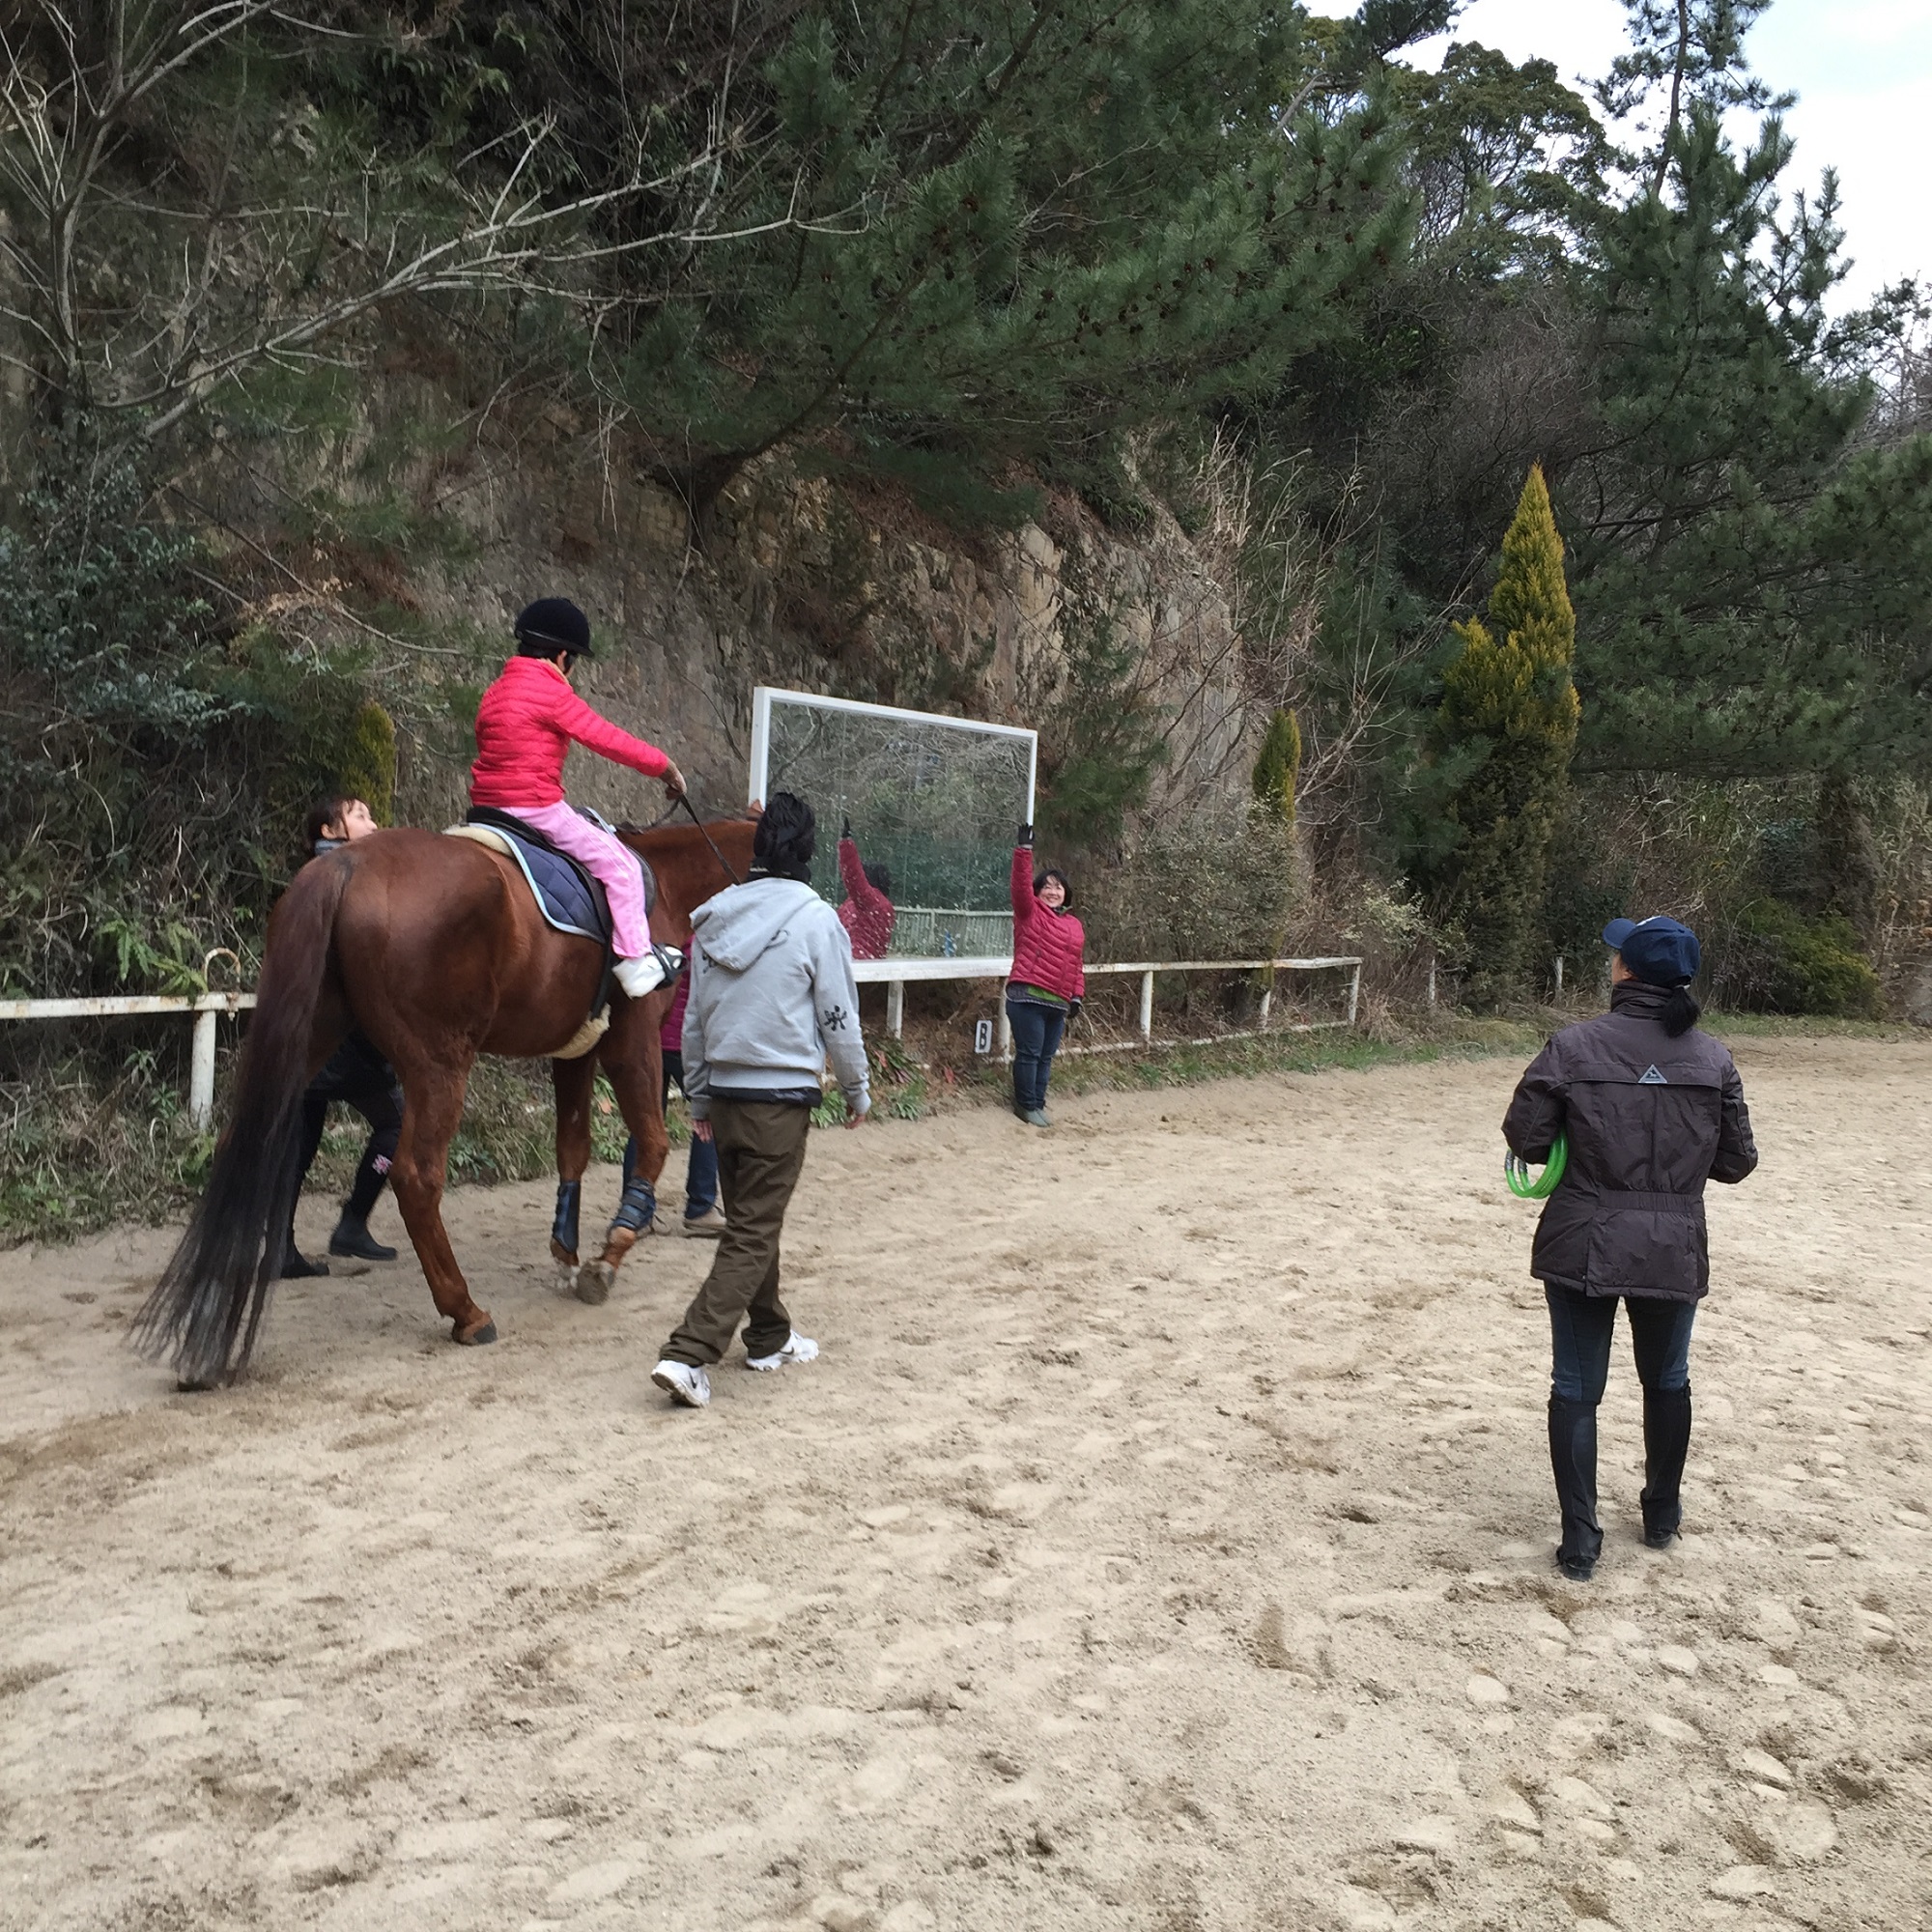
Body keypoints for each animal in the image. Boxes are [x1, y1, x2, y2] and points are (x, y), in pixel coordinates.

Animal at [134, 808, 753, 1383]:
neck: (666, 880)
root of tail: (346, 864)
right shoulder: (632, 1040)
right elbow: (653, 1143)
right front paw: (610, 1253)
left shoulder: (575, 1049)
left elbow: (572, 1149)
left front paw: (567, 1252)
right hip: (439, 1065)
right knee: (415, 1176)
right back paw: (466, 1312)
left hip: (310, 1037)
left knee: (246, 1143)